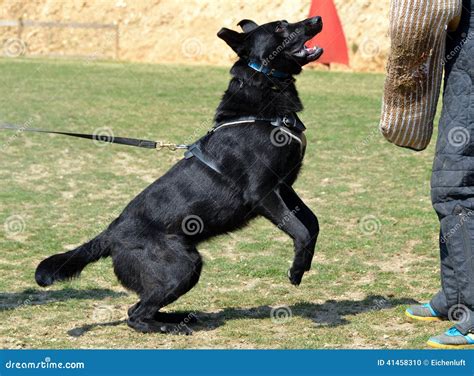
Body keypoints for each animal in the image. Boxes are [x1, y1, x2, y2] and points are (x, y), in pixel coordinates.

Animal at [34, 16, 322, 334]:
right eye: (280, 27)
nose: (317, 19)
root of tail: (110, 234)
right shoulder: (263, 193)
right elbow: (299, 229)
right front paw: (296, 270)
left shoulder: (284, 187)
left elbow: (312, 223)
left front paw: (306, 262)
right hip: (184, 266)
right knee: (136, 316)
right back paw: (170, 327)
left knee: (136, 308)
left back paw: (176, 318)